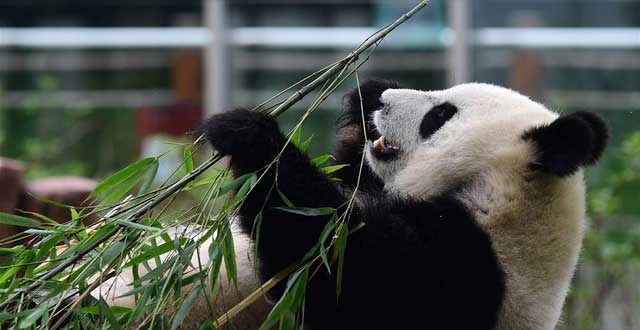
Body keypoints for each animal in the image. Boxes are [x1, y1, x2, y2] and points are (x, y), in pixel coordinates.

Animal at [97, 80, 608, 330]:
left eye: (441, 115)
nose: (382, 99)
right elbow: (348, 178)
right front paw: (360, 95)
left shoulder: (458, 273)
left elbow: (324, 261)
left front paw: (248, 134)